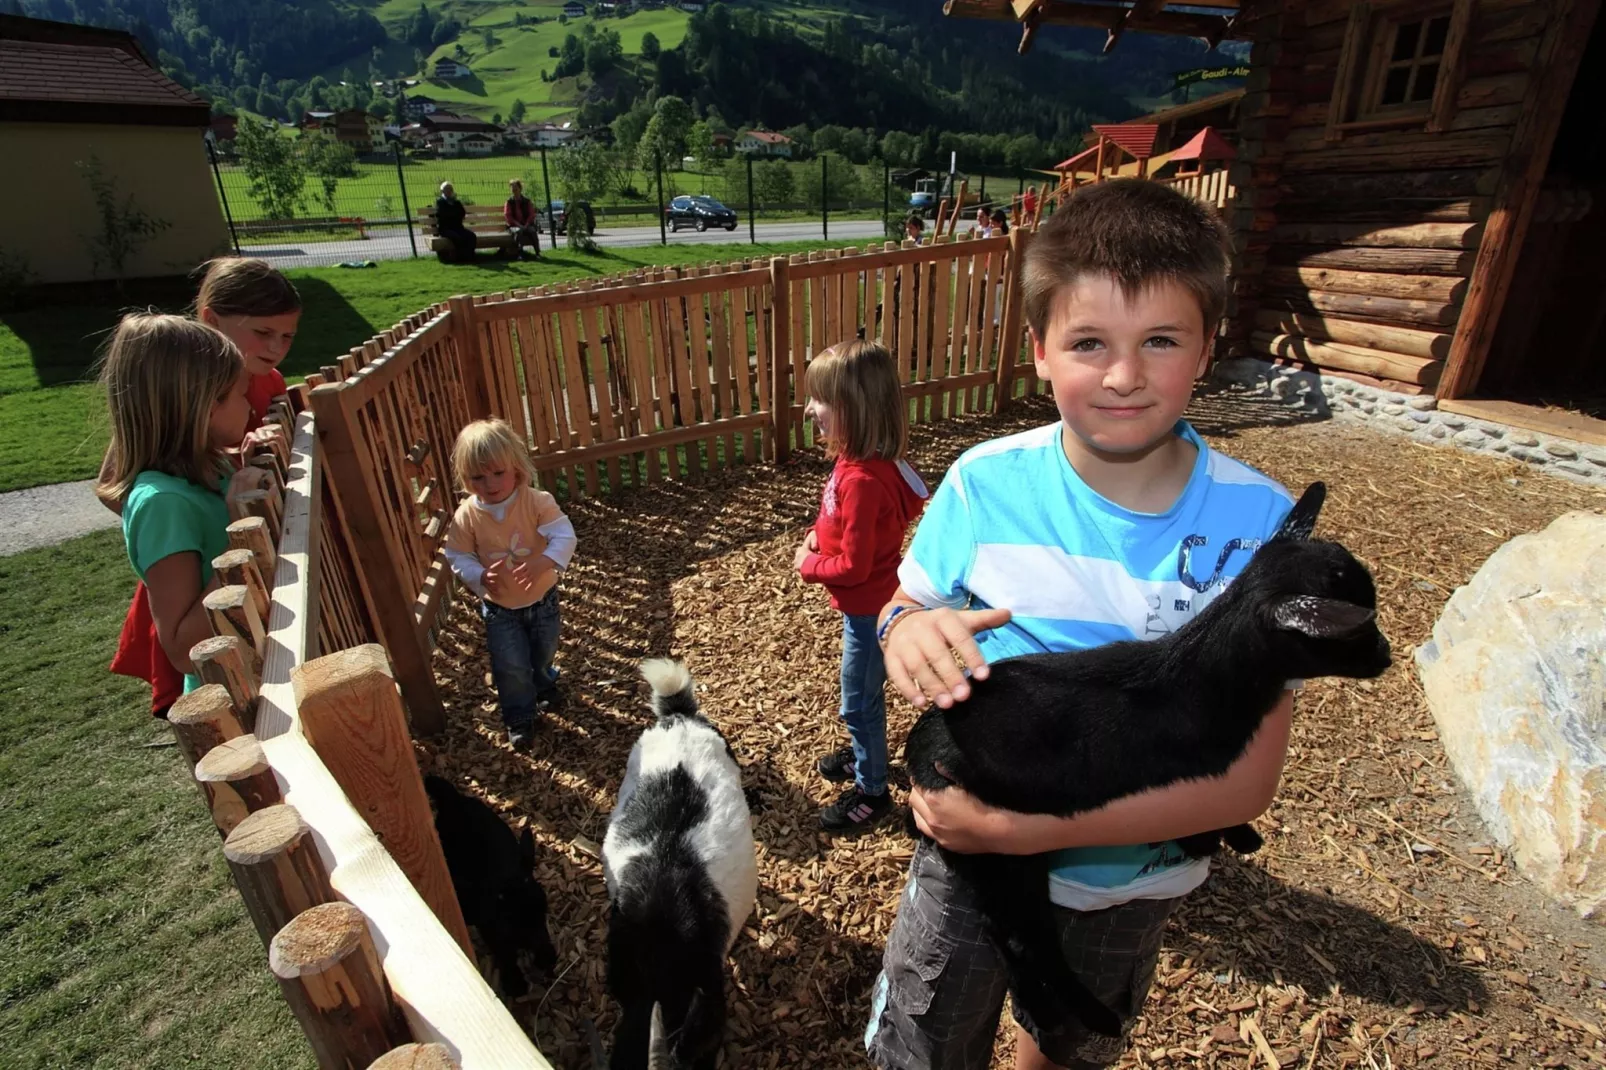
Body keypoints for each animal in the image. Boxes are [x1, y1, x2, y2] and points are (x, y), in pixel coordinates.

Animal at [420, 771, 558, 996]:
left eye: (543, 909)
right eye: (509, 918)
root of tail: (454, 800)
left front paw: (546, 957)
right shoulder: (493, 933)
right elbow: (505, 955)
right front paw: (515, 984)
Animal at [905, 481, 1394, 1034]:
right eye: (1354, 632)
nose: (1386, 654)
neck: (1202, 672)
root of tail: (921, 744)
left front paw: (1241, 836)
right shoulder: (1196, 775)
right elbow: (1205, 819)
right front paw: (1224, 840)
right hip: (1001, 852)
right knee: (1026, 939)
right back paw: (1091, 1016)